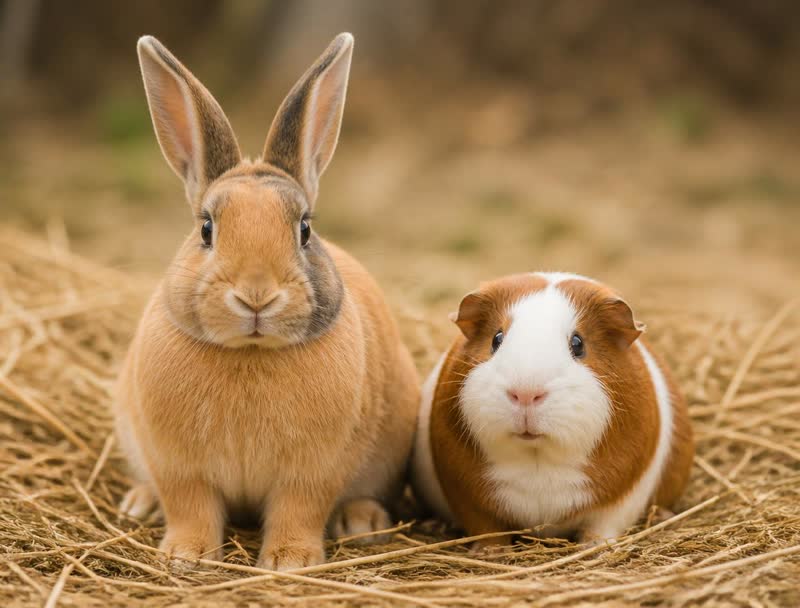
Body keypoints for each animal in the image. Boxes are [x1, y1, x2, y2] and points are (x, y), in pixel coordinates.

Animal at [113, 32, 420, 571]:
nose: (256, 296)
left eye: (305, 229)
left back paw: (363, 523)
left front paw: (288, 562)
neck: (250, 353)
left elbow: (298, 511)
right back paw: (140, 504)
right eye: (206, 229)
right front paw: (186, 556)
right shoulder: (179, 467)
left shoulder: (311, 473)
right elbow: (190, 507)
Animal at [411, 272, 693, 549]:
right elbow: (487, 530)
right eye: (496, 339)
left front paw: (595, 548)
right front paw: (491, 553)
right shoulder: (468, 498)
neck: (537, 460)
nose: (525, 393)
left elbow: (602, 527)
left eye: (578, 343)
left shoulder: (623, 501)